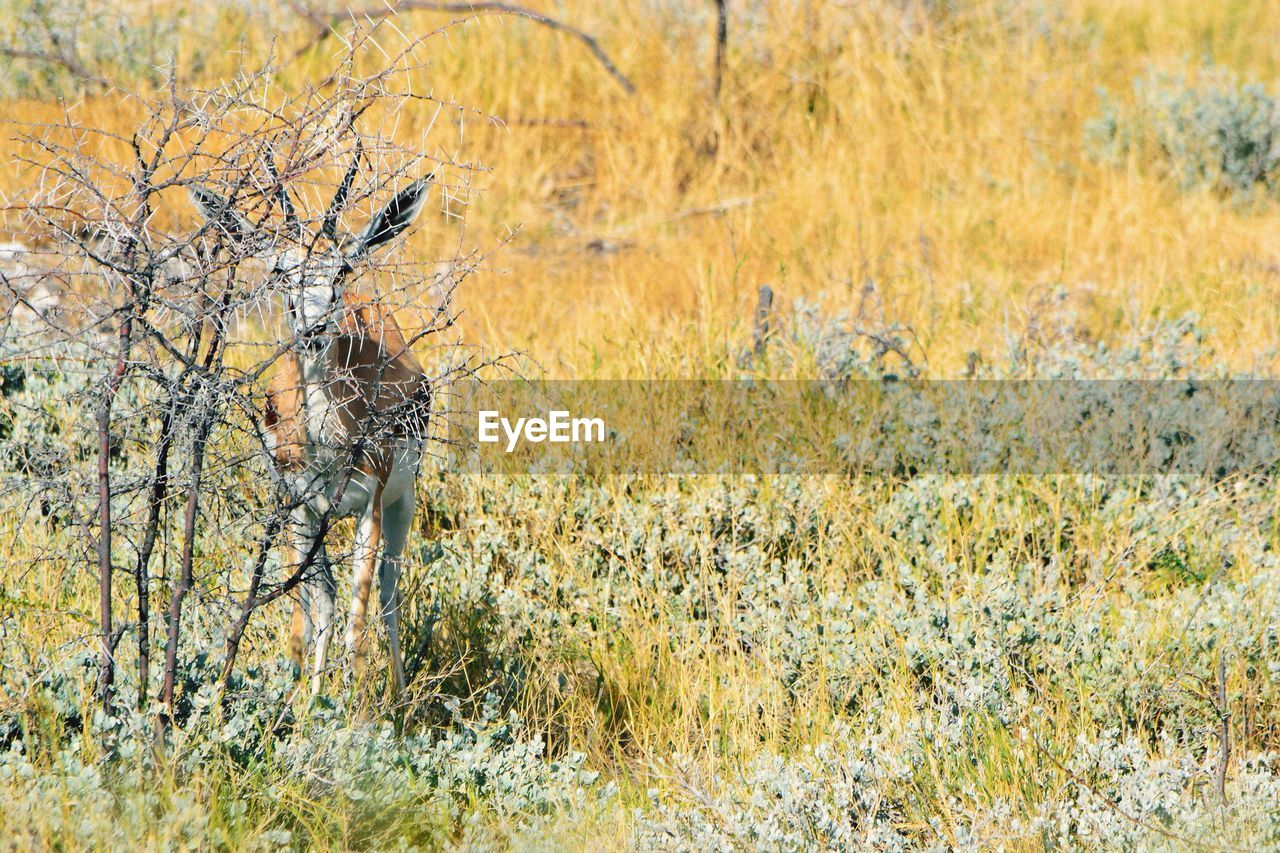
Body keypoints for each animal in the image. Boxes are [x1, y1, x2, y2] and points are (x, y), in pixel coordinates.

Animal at [188, 156, 430, 696]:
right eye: (281, 270)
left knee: (388, 595)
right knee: (329, 599)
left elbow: (357, 622)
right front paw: (306, 701)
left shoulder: (370, 508)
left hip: (402, 503)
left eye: (339, 267)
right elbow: (310, 612)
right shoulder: (296, 506)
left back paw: (401, 698)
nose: (314, 330)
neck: (326, 441)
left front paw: (356, 707)